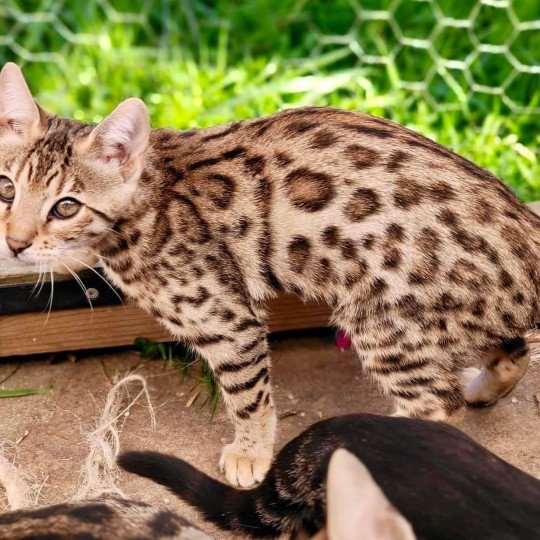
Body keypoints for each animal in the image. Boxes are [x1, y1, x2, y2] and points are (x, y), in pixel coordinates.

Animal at [0, 62, 536, 486]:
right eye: (6, 188)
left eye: (66, 206)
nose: (15, 242)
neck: (146, 203)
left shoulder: (226, 318)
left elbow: (248, 395)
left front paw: (251, 453)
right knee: (511, 350)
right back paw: (483, 387)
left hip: (384, 323)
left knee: (439, 407)